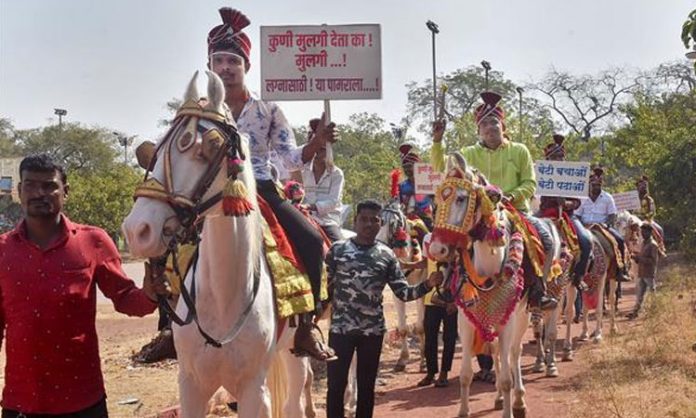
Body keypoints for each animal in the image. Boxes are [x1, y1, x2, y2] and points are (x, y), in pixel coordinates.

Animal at [124, 72, 318, 418]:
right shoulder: (191, 385)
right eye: (156, 151)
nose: (137, 230)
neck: (224, 297)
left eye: (208, 147)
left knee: (295, 398)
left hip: (293, 351)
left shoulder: (254, 390)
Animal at [426, 153, 564, 418]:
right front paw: (464, 411)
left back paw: (518, 401)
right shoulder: (466, 319)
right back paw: (500, 398)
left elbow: (508, 372)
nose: (437, 249)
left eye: (461, 198)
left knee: (513, 354)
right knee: (499, 355)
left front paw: (511, 405)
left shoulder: (508, 319)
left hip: (522, 315)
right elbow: (466, 374)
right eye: (437, 201)